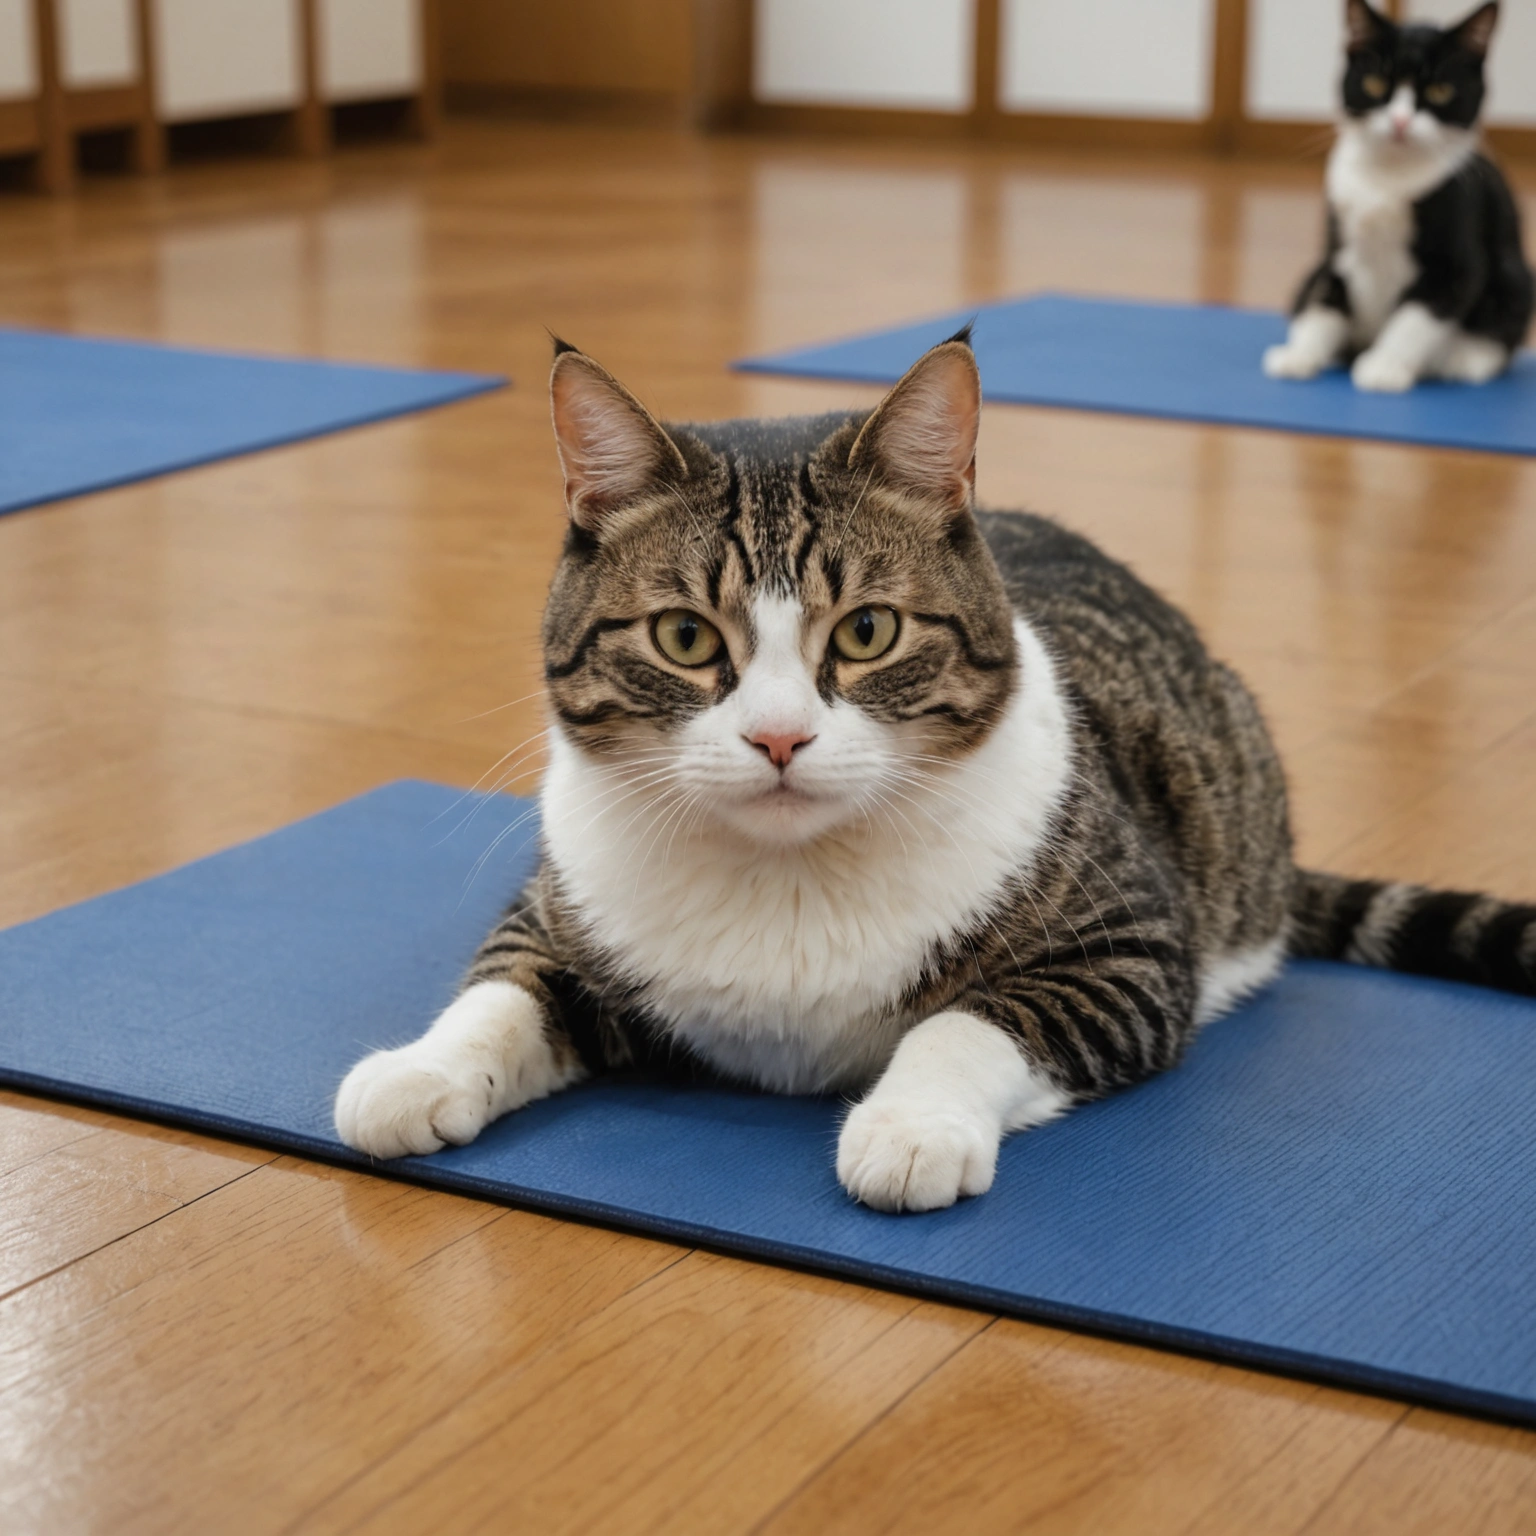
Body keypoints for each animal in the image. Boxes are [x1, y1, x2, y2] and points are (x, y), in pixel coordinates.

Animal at [336, 339, 1536, 1210]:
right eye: (684, 638)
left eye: (867, 631)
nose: (779, 739)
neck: (787, 884)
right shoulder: (557, 908)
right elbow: (499, 994)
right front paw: (417, 1072)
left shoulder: (1134, 953)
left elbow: (965, 1022)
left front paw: (909, 1129)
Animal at [1265, 0, 1529, 393]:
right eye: (1375, 84)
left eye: (1440, 91)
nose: (1400, 122)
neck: (1386, 178)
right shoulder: (1335, 251)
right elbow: (1324, 299)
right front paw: (1301, 353)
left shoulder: (1454, 262)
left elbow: (1417, 316)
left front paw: (1386, 365)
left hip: (1515, 278)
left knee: (1502, 328)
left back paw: (1466, 358)